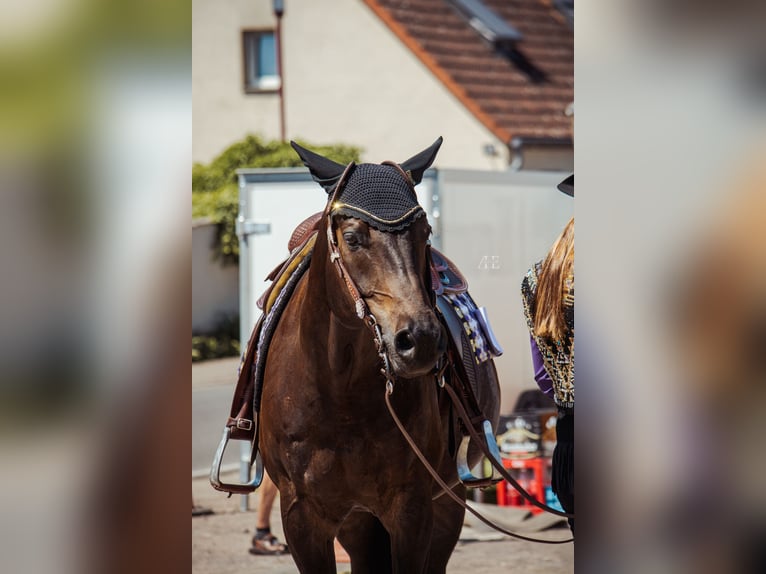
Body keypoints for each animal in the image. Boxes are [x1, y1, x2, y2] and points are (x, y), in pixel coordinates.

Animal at [258, 138, 501, 573]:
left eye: (425, 232)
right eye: (352, 238)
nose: (420, 339)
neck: (339, 393)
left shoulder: (413, 508)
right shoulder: (302, 516)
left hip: (445, 504)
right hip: (358, 522)